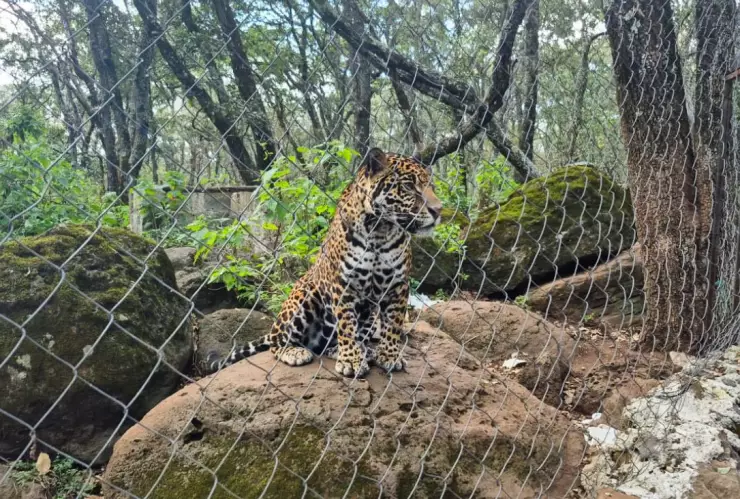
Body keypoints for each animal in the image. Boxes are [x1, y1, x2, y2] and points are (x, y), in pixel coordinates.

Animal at [205, 147, 443, 378]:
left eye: (431, 187)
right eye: (409, 186)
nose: (439, 210)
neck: (380, 231)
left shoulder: (397, 285)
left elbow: (393, 324)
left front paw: (390, 356)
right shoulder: (343, 284)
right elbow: (346, 325)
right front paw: (351, 361)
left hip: (367, 313)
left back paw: (360, 350)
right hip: (304, 295)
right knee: (278, 343)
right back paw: (296, 352)